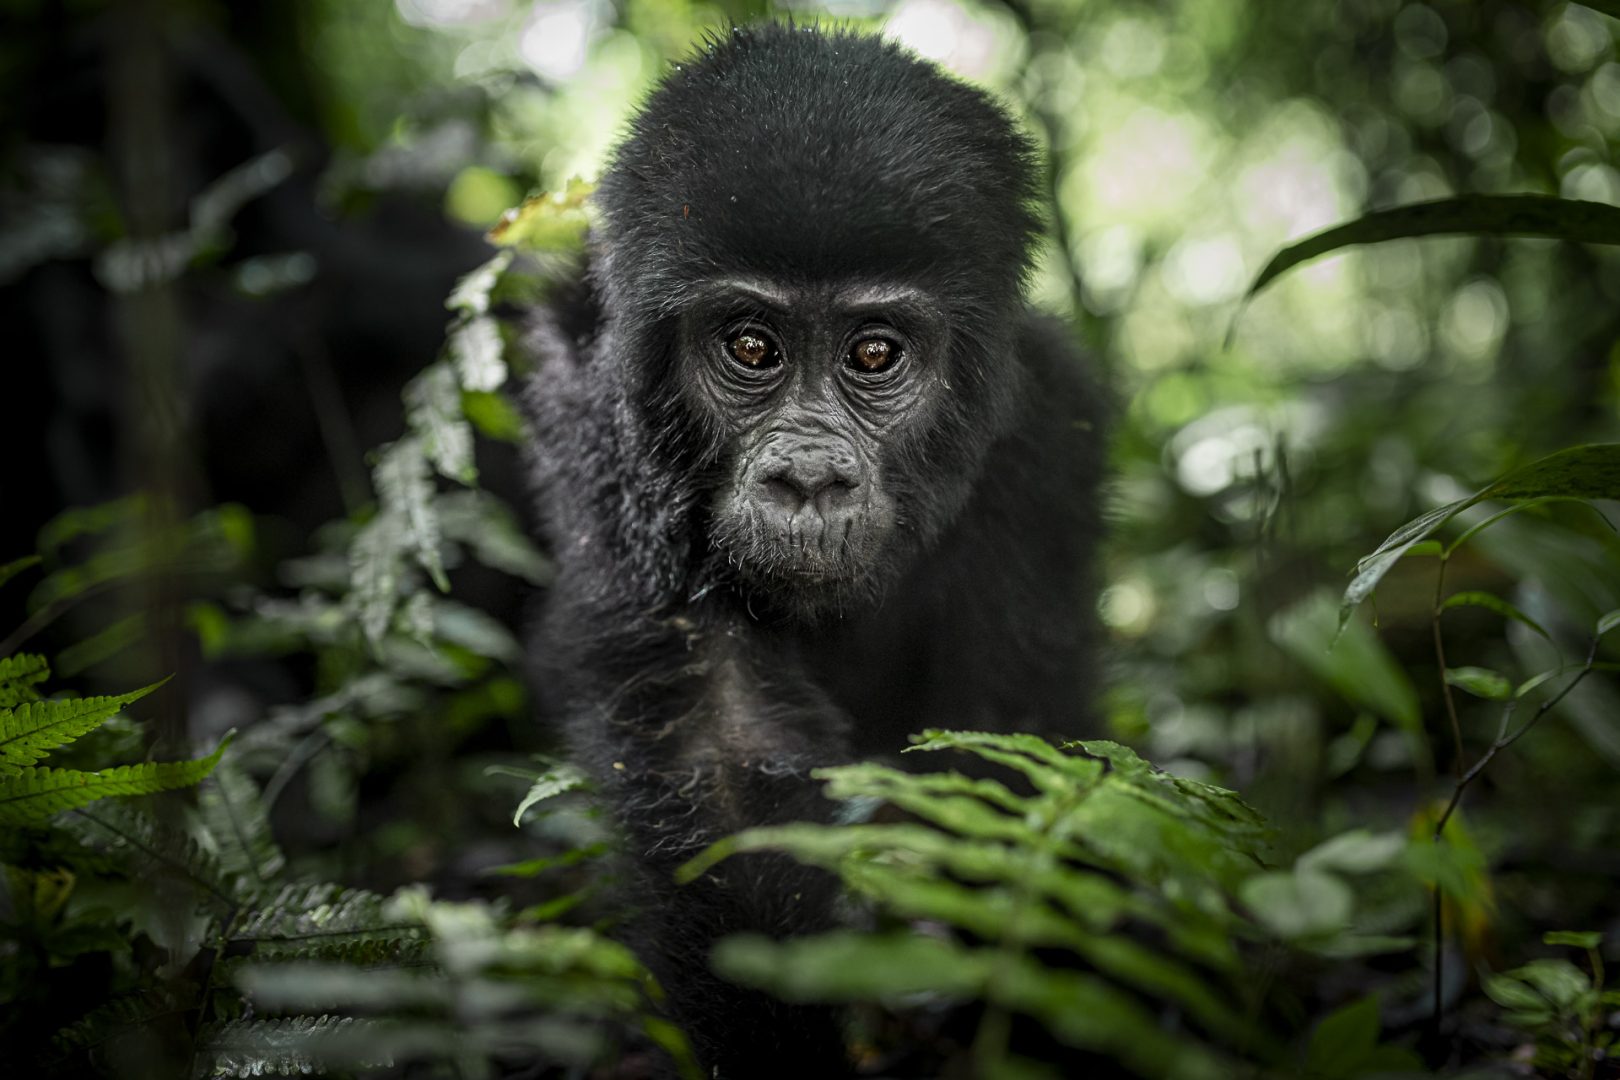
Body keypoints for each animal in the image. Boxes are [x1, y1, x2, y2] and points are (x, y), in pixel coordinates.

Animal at [521, 24, 1107, 1077]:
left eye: (874, 355)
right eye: (752, 347)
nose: (806, 479)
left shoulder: (1049, 436)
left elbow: (1016, 741)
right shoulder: (603, 428)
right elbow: (723, 760)